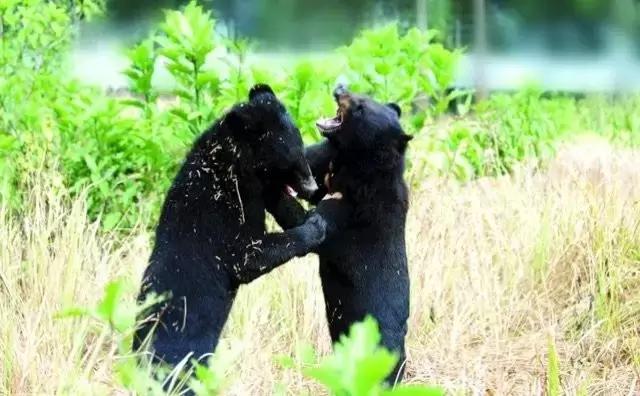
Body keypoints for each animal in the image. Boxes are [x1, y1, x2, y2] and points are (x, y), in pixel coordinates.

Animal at [134, 83, 324, 368]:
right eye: (292, 159)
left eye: (302, 150)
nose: (312, 188)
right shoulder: (225, 211)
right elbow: (247, 255)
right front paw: (314, 227)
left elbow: (278, 202)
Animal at [306, 86, 416, 384]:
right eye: (361, 95)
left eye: (361, 107)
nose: (339, 88)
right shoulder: (328, 168)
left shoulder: (354, 212)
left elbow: (318, 226)